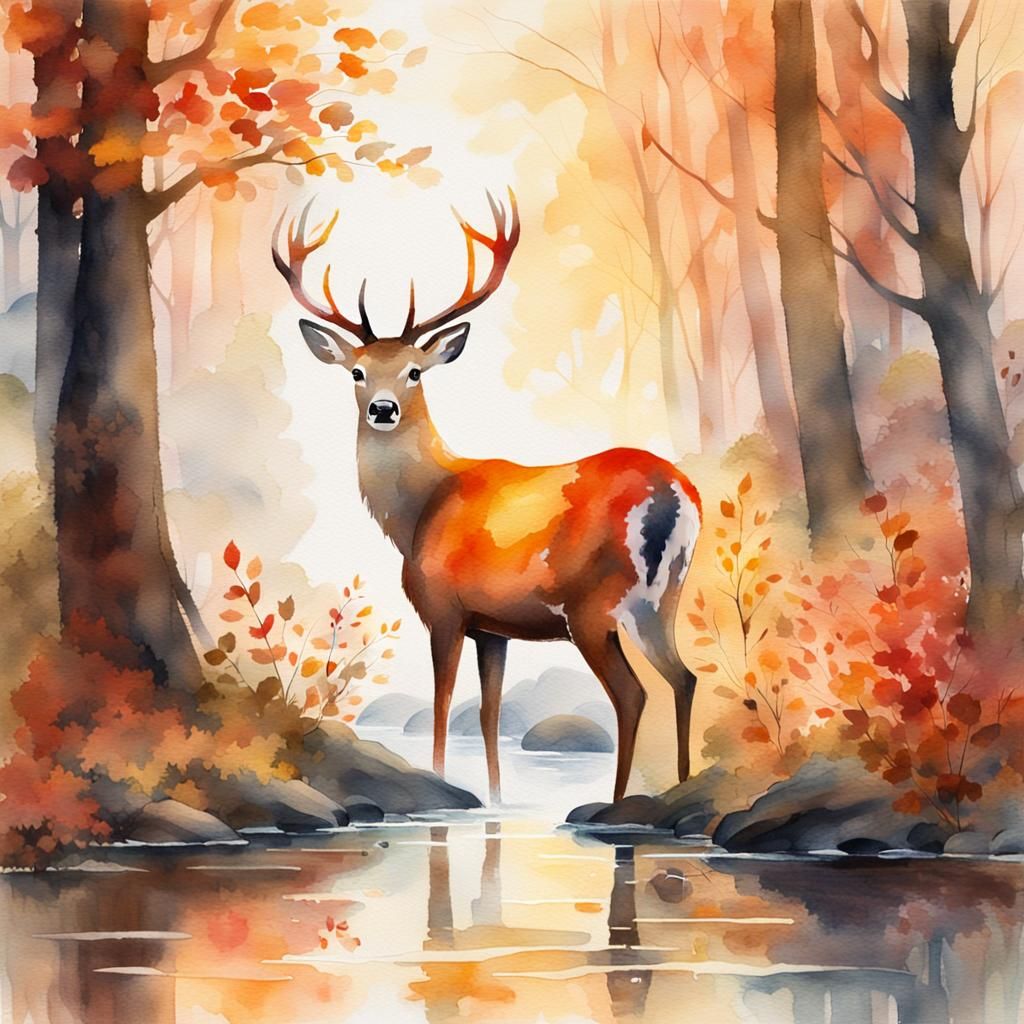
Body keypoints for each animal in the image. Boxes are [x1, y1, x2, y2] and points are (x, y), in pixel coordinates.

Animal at [272, 190, 702, 804]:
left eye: (415, 371)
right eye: (356, 371)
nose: (383, 408)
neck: (418, 512)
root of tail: (673, 490)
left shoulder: (444, 609)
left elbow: (443, 706)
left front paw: (442, 781)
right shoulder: (492, 628)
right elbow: (488, 715)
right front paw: (496, 800)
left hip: (593, 606)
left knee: (633, 693)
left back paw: (615, 802)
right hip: (661, 600)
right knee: (684, 677)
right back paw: (681, 786)